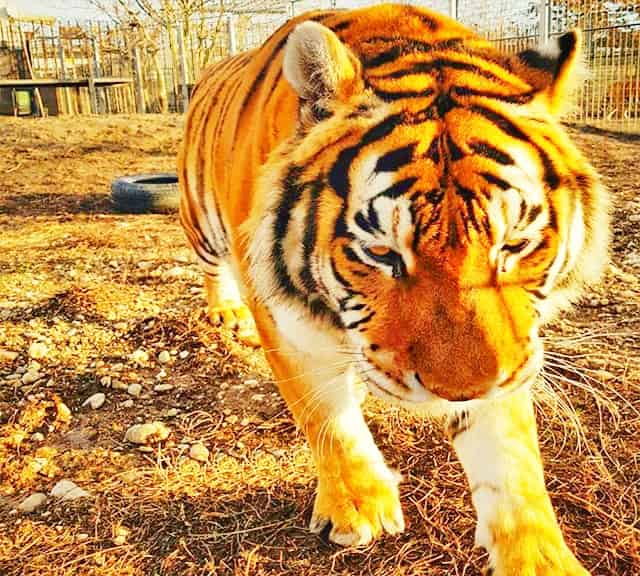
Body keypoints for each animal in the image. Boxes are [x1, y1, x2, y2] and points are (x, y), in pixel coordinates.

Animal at [178, 5, 608, 576]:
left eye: (514, 244)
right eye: (382, 252)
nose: (459, 392)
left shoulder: (512, 353)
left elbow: (511, 458)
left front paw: (542, 558)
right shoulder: (284, 322)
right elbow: (325, 415)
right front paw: (358, 508)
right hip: (201, 222)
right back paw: (227, 313)